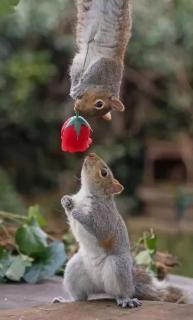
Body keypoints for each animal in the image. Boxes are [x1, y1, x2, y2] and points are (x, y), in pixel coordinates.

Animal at [53, 154, 185, 308]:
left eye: (104, 173)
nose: (91, 155)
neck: (87, 194)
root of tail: (100, 286)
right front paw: (66, 200)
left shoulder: (105, 216)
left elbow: (100, 229)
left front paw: (79, 213)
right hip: (73, 269)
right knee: (81, 298)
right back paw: (66, 300)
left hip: (117, 266)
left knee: (120, 292)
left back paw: (126, 300)